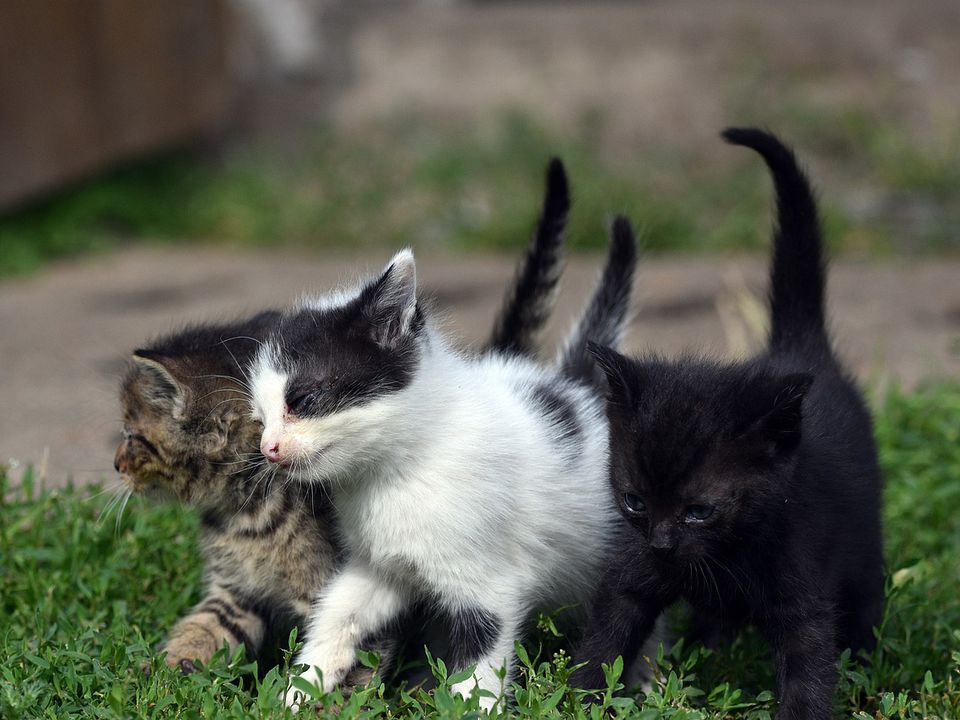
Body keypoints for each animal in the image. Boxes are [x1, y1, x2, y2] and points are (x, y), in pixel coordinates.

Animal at [116, 158, 572, 676]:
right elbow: (205, 627)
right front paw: (160, 675)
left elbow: (353, 659)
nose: (116, 464)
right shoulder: (234, 593)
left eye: (132, 435)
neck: (243, 512)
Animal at [248, 218, 636, 708]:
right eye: (259, 419)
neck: (399, 469)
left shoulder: (491, 587)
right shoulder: (381, 564)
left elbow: (480, 670)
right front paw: (301, 686)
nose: (269, 449)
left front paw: (476, 708)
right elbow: (340, 611)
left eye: (303, 401)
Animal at [568, 129, 884, 720]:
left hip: (864, 541)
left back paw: (869, 660)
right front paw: (578, 699)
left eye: (700, 511)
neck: (730, 552)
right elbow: (605, 638)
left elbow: (808, 667)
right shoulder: (630, 569)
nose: (663, 544)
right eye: (634, 501)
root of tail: (797, 347)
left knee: (866, 600)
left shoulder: (803, 583)